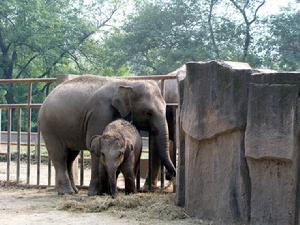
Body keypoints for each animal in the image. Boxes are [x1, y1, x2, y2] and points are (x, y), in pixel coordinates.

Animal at [39, 76, 176, 195]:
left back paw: (75, 191)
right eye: (148, 113)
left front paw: (104, 191)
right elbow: (94, 144)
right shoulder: (100, 113)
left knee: (71, 156)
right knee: (60, 155)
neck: (128, 82)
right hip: (49, 128)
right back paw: (67, 192)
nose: (171, 175)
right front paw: (95, 193)